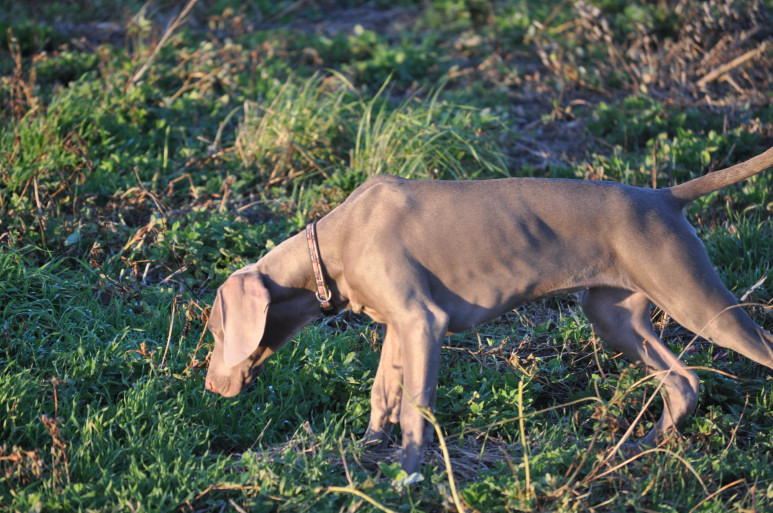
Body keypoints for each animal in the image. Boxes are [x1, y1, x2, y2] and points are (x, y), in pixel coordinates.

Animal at [202, 145, 768, 472]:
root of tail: (664, 197)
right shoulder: (399, 327)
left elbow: (416, 409)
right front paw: (366, 452)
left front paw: (409, 476)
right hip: (615, 318)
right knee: (684, 382)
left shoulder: (423, 323)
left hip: (698, 301)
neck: (333, 245)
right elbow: (382, 395)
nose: (208, 385)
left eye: (214, 331)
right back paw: (637, 447)